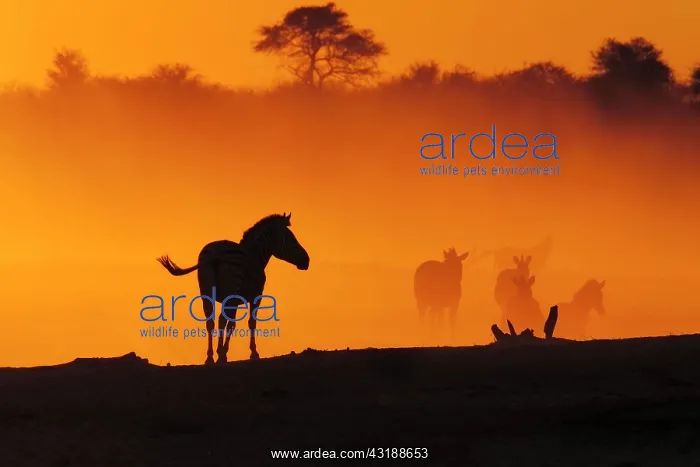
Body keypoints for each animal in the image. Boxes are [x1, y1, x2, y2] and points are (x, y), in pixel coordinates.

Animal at [156, 212, 310, 365]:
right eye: (291, 239)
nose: (307, 261)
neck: (255, 256)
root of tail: (215, 254)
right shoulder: (255, 297)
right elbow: (248, 323)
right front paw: (252, 353)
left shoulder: (235, 300)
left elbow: (231, 324)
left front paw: (224, 352)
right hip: (231, 289)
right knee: (220, 319)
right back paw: (220, 356)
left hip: (206, 292)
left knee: (210, 321)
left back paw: (210, 357)